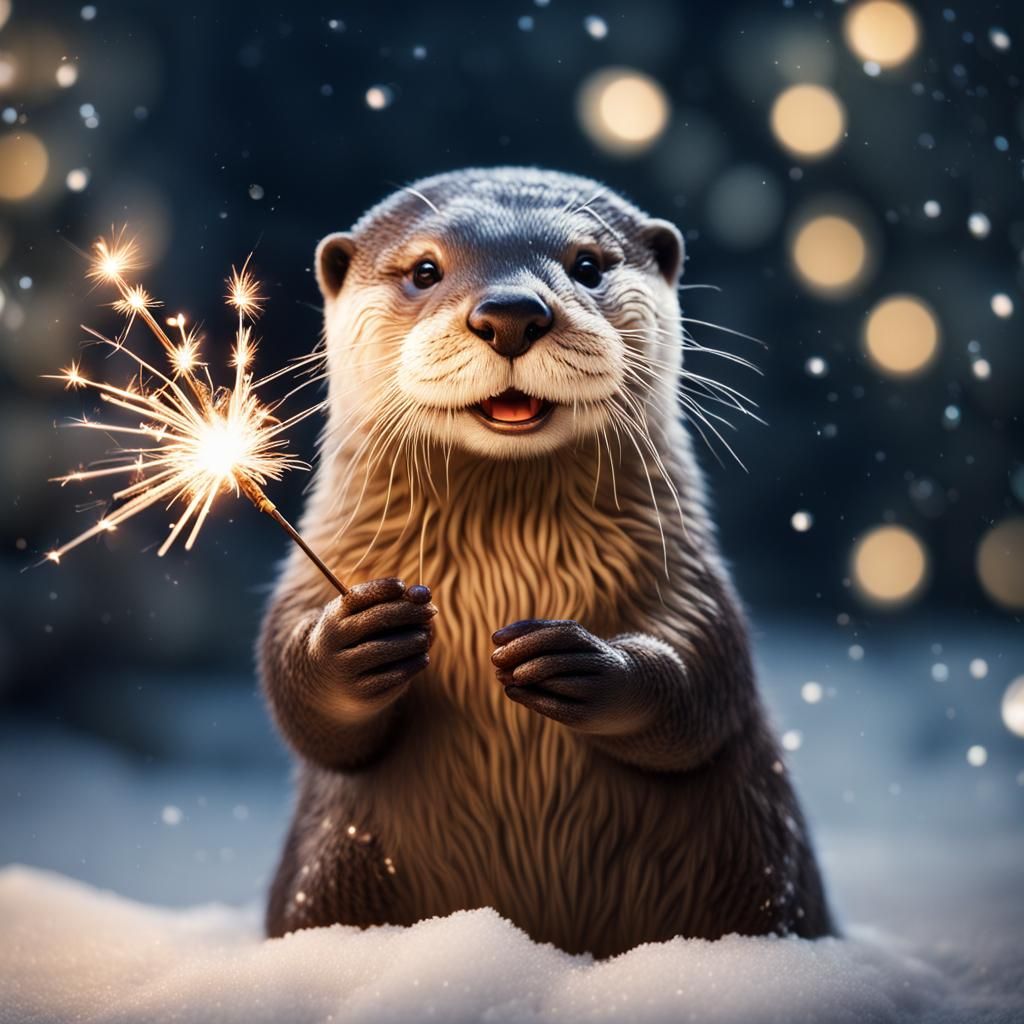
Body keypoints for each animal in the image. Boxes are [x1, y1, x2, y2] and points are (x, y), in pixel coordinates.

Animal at [260, 167, 833, 957]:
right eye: (424, 270)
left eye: (587, 264)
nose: (510, 313)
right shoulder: (325, 563)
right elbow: (301, 701)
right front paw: (358, 636)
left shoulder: (690, 577)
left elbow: (706, 681)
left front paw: (578, 661)